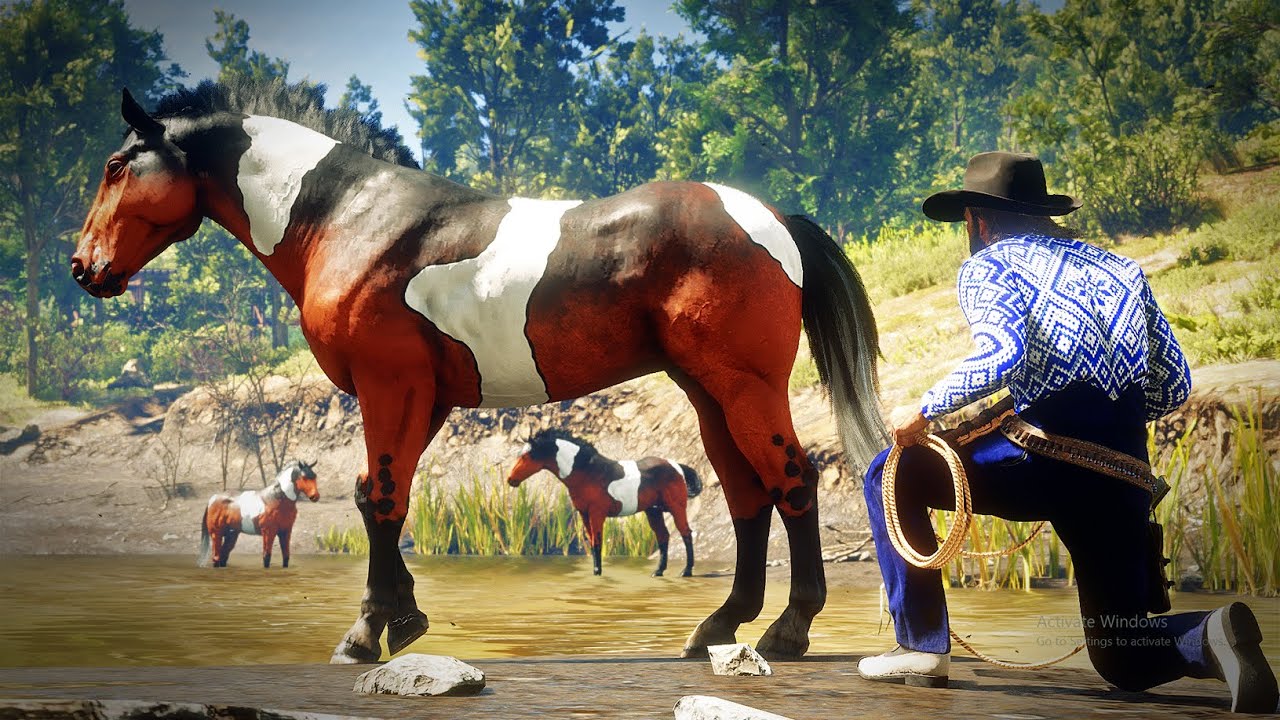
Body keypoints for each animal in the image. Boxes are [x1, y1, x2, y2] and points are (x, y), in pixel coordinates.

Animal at [508, 429, 703, 577]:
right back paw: (658, 571)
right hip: (653, 511)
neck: (587, 471)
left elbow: (597, 542)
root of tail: (676, 466)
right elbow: (592, 541)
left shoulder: (597, 514)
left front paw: (597, 572)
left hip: (677, 508)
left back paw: (686, 571)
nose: (511, 480)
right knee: (663, 536)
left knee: (686, 533)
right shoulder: (584, 514)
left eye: (528, 456)